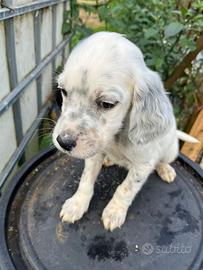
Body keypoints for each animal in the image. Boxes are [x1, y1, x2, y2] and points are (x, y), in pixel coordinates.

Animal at [52, 31, 198, 230]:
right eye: (63, 91)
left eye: (107, 104)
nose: (63, 142)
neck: (116, 137)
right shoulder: (93, 153)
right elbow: (86, 179)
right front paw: (77, 204)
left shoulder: (143, 165)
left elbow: (125, 189)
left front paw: (114, 212)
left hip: (170, 150)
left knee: (163, 160)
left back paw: (165, 169)